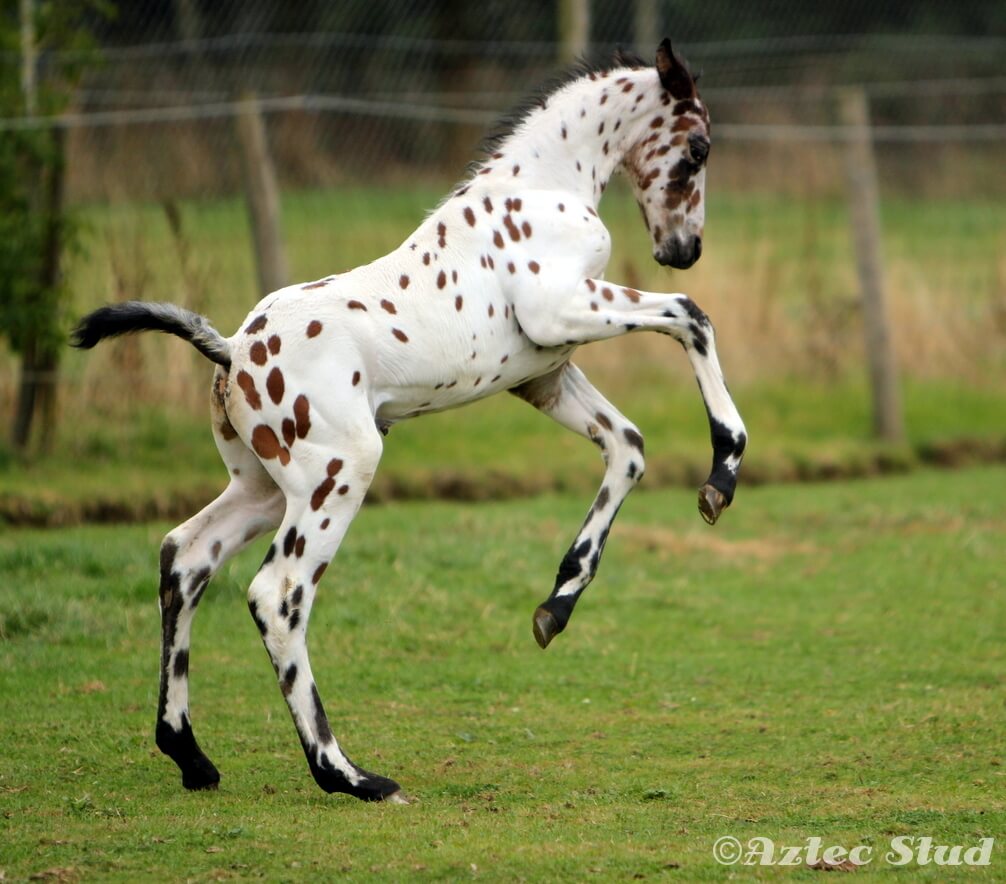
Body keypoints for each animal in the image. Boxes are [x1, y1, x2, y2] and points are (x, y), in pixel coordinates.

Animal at [72, 39, 748, 800]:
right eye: (698, 147)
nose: (682, 249)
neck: (545, 186)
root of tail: (235, 348)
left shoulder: (541, 373)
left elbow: (627, 448)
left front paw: (557, 605)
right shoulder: (564, 311)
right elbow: (691, 316)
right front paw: (724, 468)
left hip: (263, 488)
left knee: (184, 558)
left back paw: (190, 754)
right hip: (340, 473)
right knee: (278, 596)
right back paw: (347, 774)